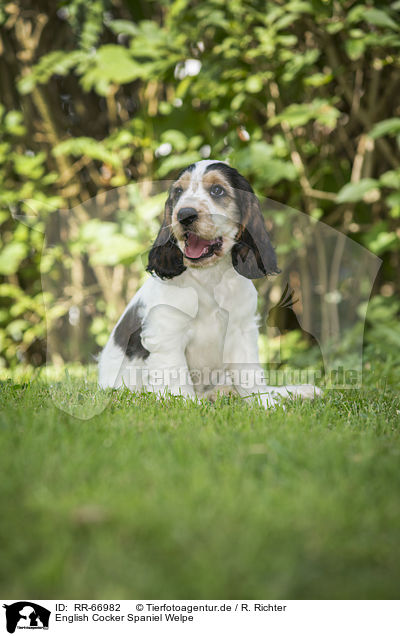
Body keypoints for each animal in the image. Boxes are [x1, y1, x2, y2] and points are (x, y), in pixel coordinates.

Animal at [98, 159, 320, 408]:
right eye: (178, 192)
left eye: (217, 190)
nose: (184, 215)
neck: (208, 277)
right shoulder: (167, 333)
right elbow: (176, 376)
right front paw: (185, 404)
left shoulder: (241, 330)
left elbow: (250, 376)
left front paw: (265, 404)